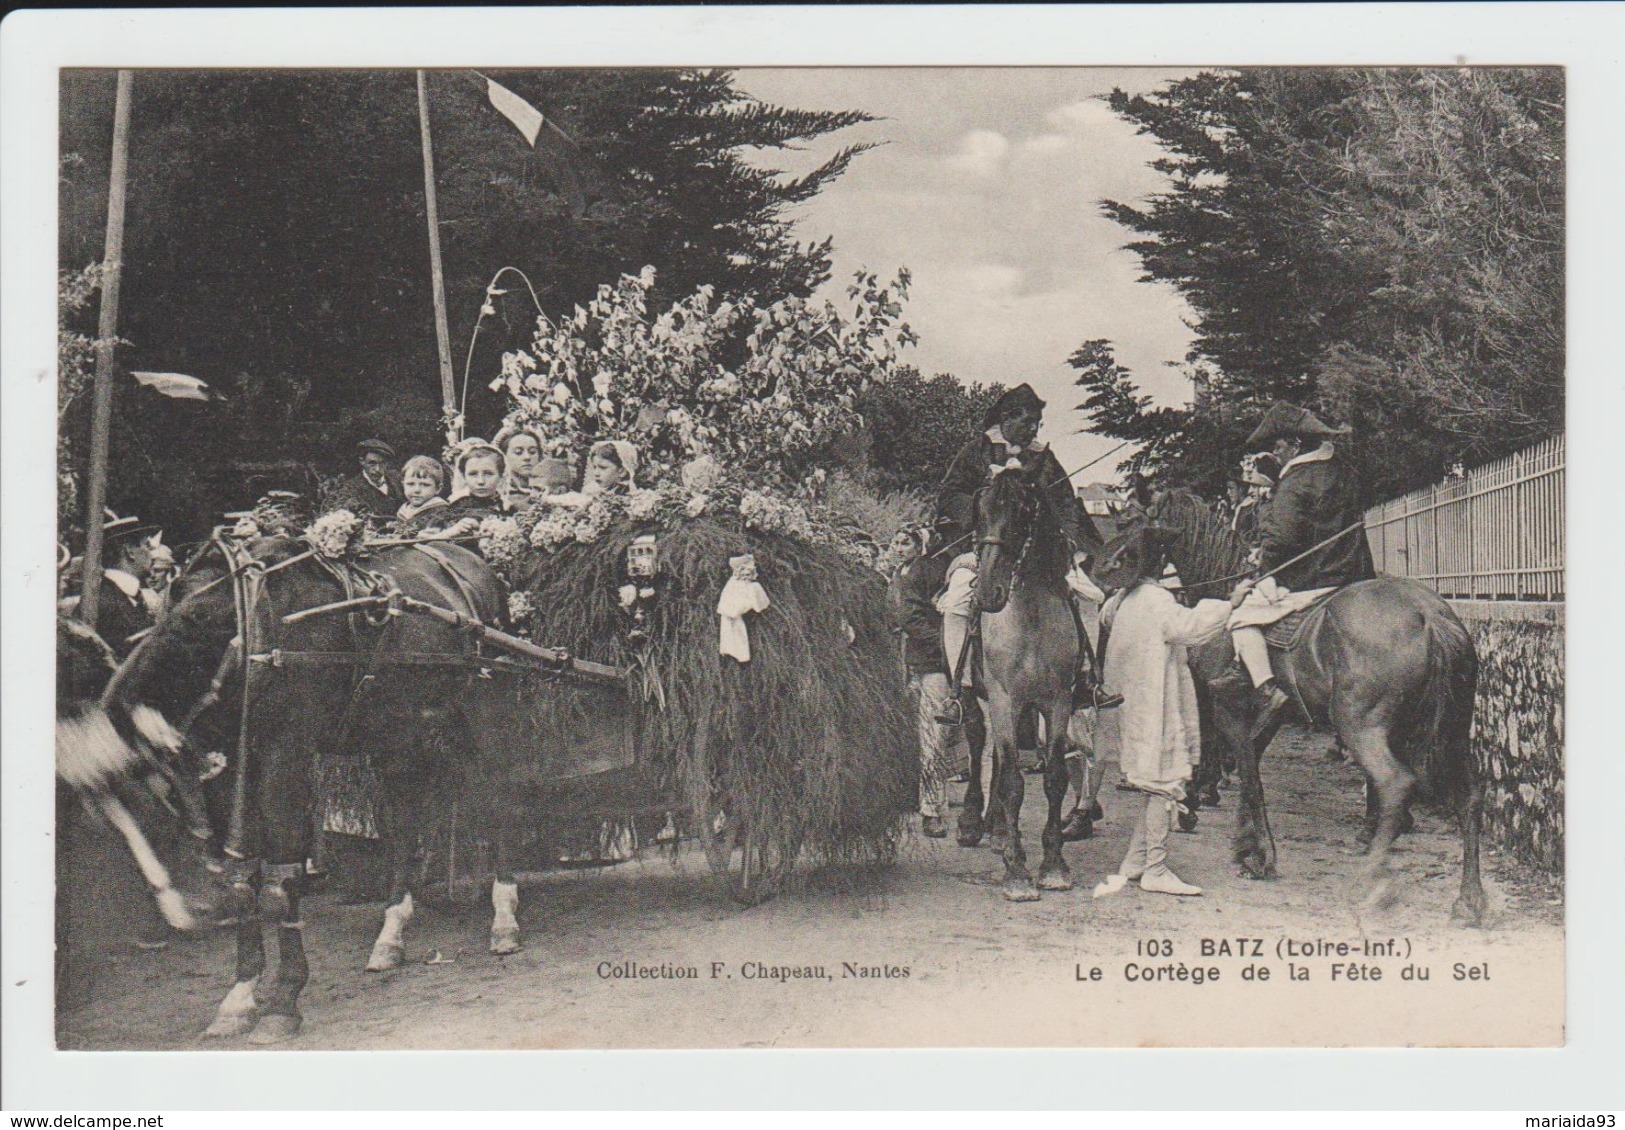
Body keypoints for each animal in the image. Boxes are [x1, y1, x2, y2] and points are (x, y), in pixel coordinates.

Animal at [101, 533, 513, 1040]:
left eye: (196, 621)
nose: (113, 703)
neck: (254, 628)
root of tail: (469, 556)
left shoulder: (287, 756)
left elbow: (281, 885)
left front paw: (283, 1001)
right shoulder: (233, 769)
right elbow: (242, 881)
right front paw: (239, 997)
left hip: (482, 712)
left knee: (495, 799)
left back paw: (505, 917)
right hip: (399, 733)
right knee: (405, 821)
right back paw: (391, 934)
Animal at [955, 465, 1085, 904]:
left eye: (1023, 513)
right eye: (979, 513)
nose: (986, 595)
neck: (1030, 619)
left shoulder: (1058, 702)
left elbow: (1055, 777)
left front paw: (1053, 865)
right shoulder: (1003, 698)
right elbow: (1013, 781)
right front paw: (1016, 871)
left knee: (997, 754)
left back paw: (997, 829)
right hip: (978, 699)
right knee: (979, 742)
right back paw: (973, 822)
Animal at [1144, 497, 1488, 930]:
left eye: (1143, 519)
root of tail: (1430, 616)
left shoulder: (1227, 707)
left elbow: (1244, 771)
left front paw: (1254, 850)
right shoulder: (1272, 714)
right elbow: (1250, 766)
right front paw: (1245, 845)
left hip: (1360, 726)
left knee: (1395, 784)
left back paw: (1370, 881)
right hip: (1452, 731)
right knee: (1469, 797)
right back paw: (1469, 899)